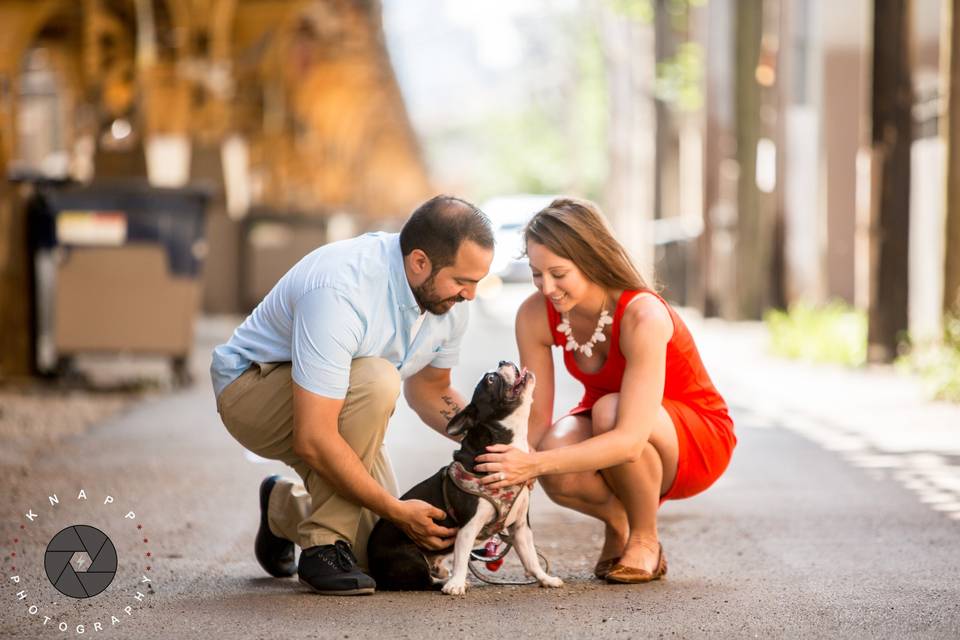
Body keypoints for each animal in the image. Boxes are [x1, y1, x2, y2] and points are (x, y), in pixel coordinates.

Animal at [366, 360, 564, 596]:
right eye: (490, 379)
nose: (503, 361)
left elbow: (531, 558)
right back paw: (444, 582)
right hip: (411, 558)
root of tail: (371, 566)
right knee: (423, 581)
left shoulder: (520, 528)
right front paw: (456, 584)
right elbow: (461, 558)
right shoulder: (468, 527)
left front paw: (545, 579)